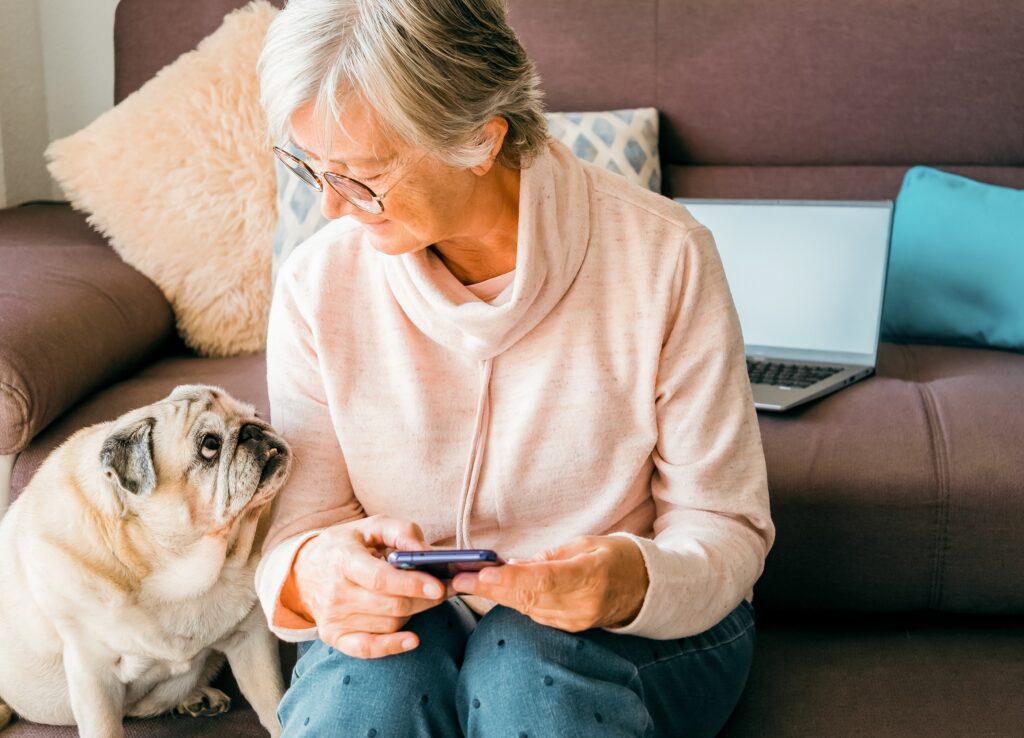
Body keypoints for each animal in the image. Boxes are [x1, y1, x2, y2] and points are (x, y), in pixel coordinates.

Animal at [0, 382, 292, 732]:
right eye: (210, 445)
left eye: (255, 414)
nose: (254, 429)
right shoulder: (93, 675)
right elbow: (105, 727)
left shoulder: (251, 642)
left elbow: (275, 704)